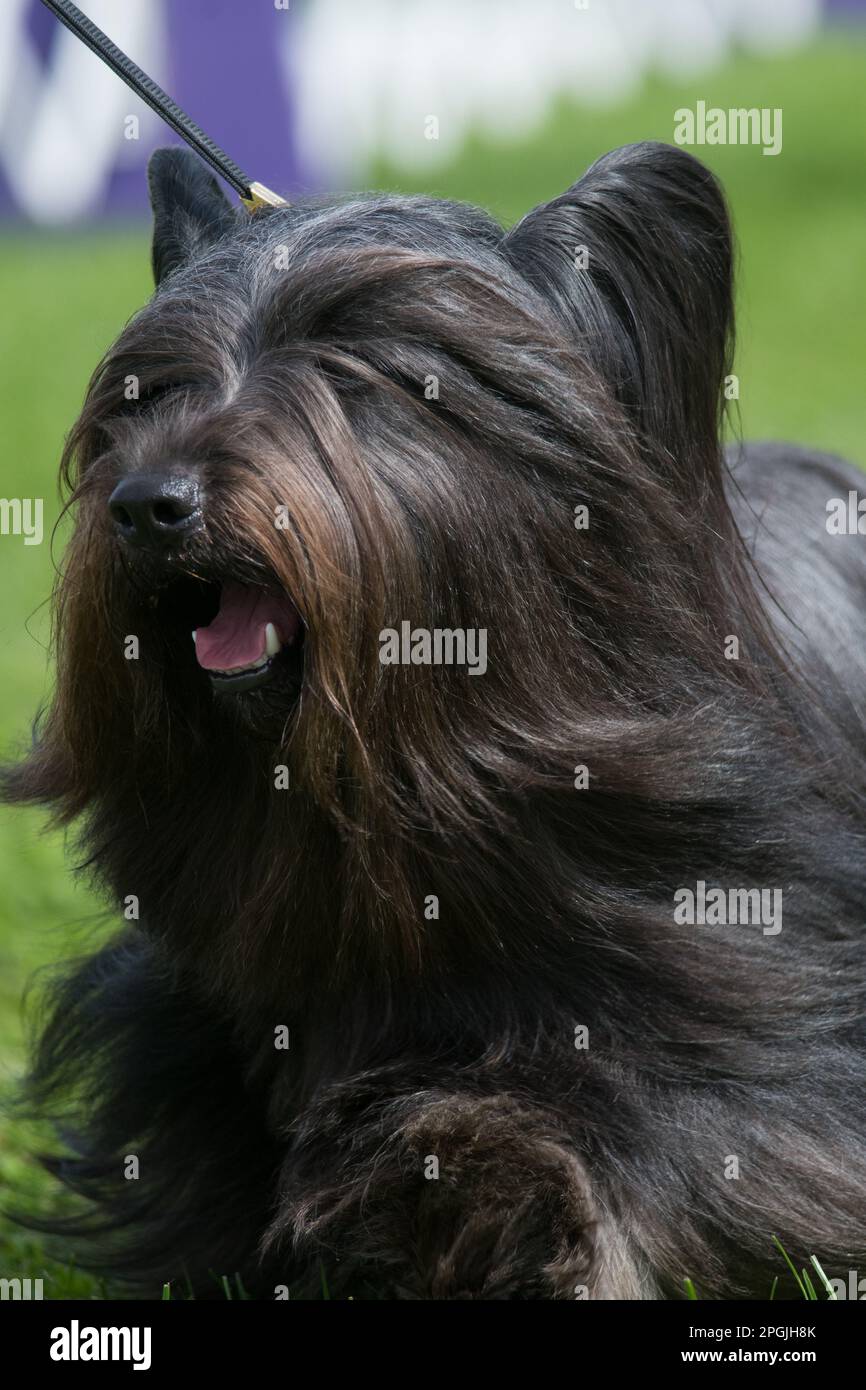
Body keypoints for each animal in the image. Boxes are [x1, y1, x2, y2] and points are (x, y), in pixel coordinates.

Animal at [5, 138, 866, 1289]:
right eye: (151, 389)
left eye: (352, 370)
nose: (148, 504)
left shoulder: (755, 1009)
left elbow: (678, 1126)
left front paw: (481, 1189)